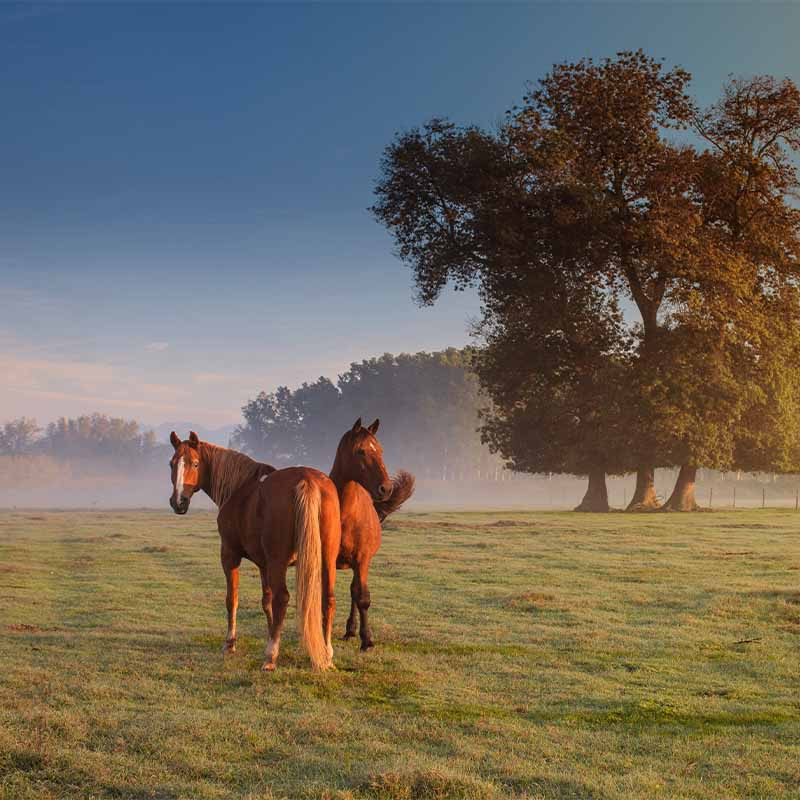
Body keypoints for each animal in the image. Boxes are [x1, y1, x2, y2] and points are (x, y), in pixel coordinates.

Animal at [169, 432, 340, 668]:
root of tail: (306, 480)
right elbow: (266, 601)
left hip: (278, 562)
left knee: (282, 598)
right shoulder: (264, 564)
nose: (179, 502)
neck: (239, 486)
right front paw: (271, 634)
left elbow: (232, 599)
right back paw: (327, 653)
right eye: (172, 464)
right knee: (328, 600)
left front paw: (230, 643)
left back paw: (271, 655)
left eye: (195, 463)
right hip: (327, 560)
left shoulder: (230, 555)